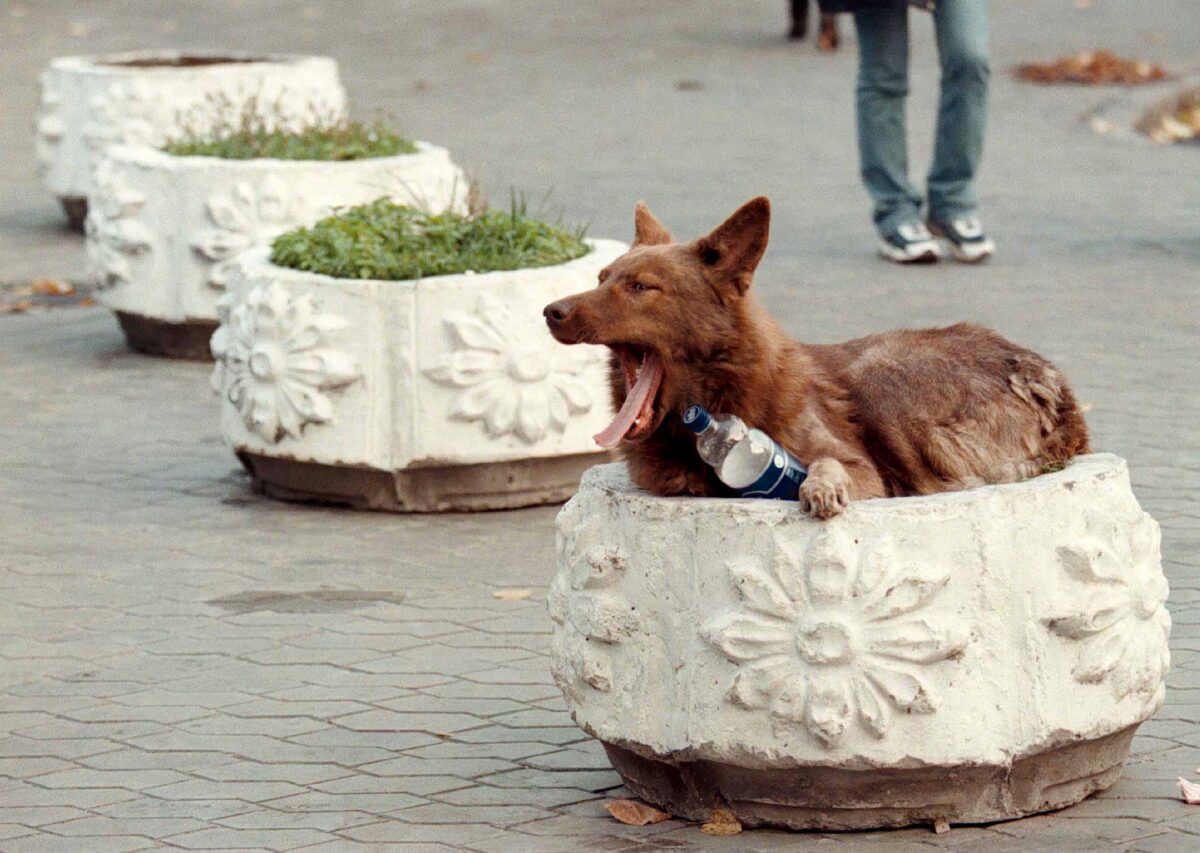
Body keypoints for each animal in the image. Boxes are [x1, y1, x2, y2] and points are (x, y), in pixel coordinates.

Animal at [544, 200, 1089, 520]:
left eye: (640, 287)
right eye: (601, 278)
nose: (552, 311)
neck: (725, 394)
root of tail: (1053, 385)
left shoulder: (864, 469)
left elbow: (829, 462)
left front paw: (821, 487)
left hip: (878, 376)